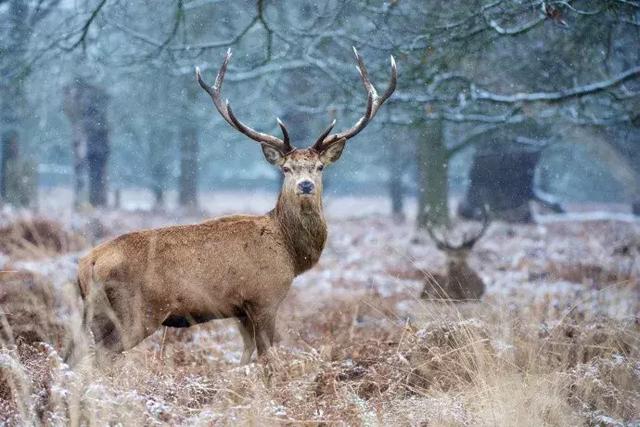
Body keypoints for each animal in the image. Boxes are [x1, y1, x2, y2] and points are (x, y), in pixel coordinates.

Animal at [75, 49, 396, 364]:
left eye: (319, 167)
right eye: (287, 169)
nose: (305, 185)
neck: (291, 253)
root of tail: (87, 263)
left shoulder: (240, 310)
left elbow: (245, 355)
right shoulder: (264, 297)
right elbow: (267, 356)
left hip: (97, 315)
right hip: (137, 311)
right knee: (101, 356)